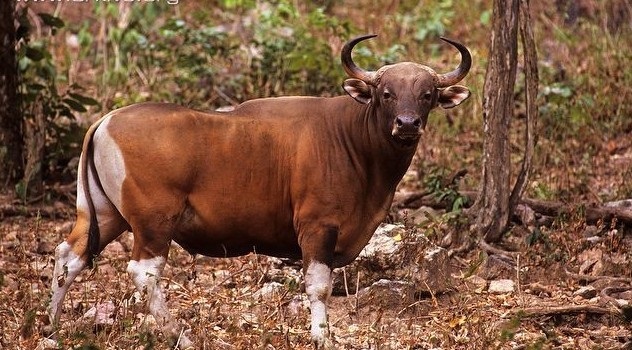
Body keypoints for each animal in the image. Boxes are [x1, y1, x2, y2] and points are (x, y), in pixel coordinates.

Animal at [49, 34, 472, 348]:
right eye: (386, 92)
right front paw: (322, 336)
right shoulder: (317, 227)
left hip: (105, 213)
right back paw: (180, 335)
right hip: (154, 222)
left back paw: (50, 326)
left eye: (428, 94)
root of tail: (106, 120)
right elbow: (319, 287)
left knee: (69, 256)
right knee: (143, 272)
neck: (353, 141)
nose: (407, 123)